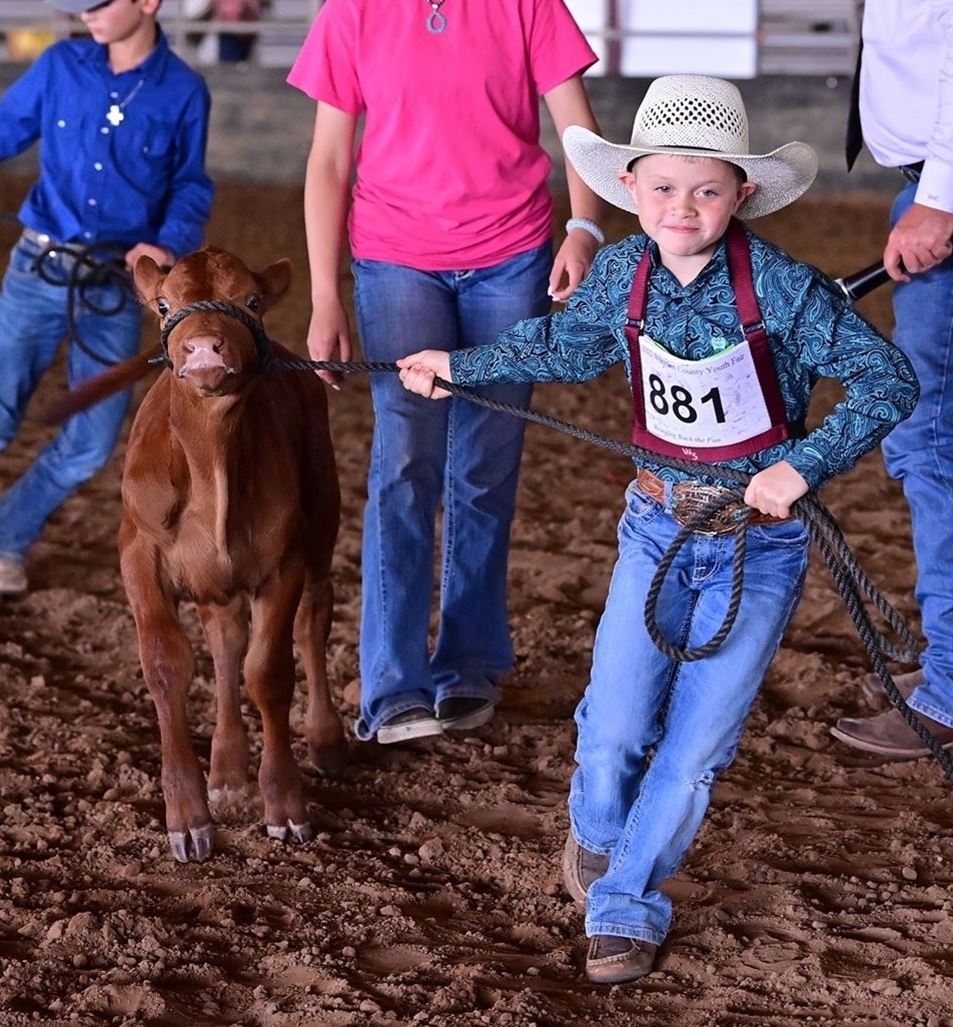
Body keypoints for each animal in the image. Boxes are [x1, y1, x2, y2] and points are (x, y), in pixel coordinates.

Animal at [111, 246, 345, 858]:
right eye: (163, 303)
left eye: (253, 301)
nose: (202, 349)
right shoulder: (137, 554)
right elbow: (168, 665)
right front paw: (187, 816)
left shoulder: (283, 564)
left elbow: (269, 673)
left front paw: (284, 805)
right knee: (224, 643)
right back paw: (227, 769)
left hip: (324, 512)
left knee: (314, 616)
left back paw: (325, 739)